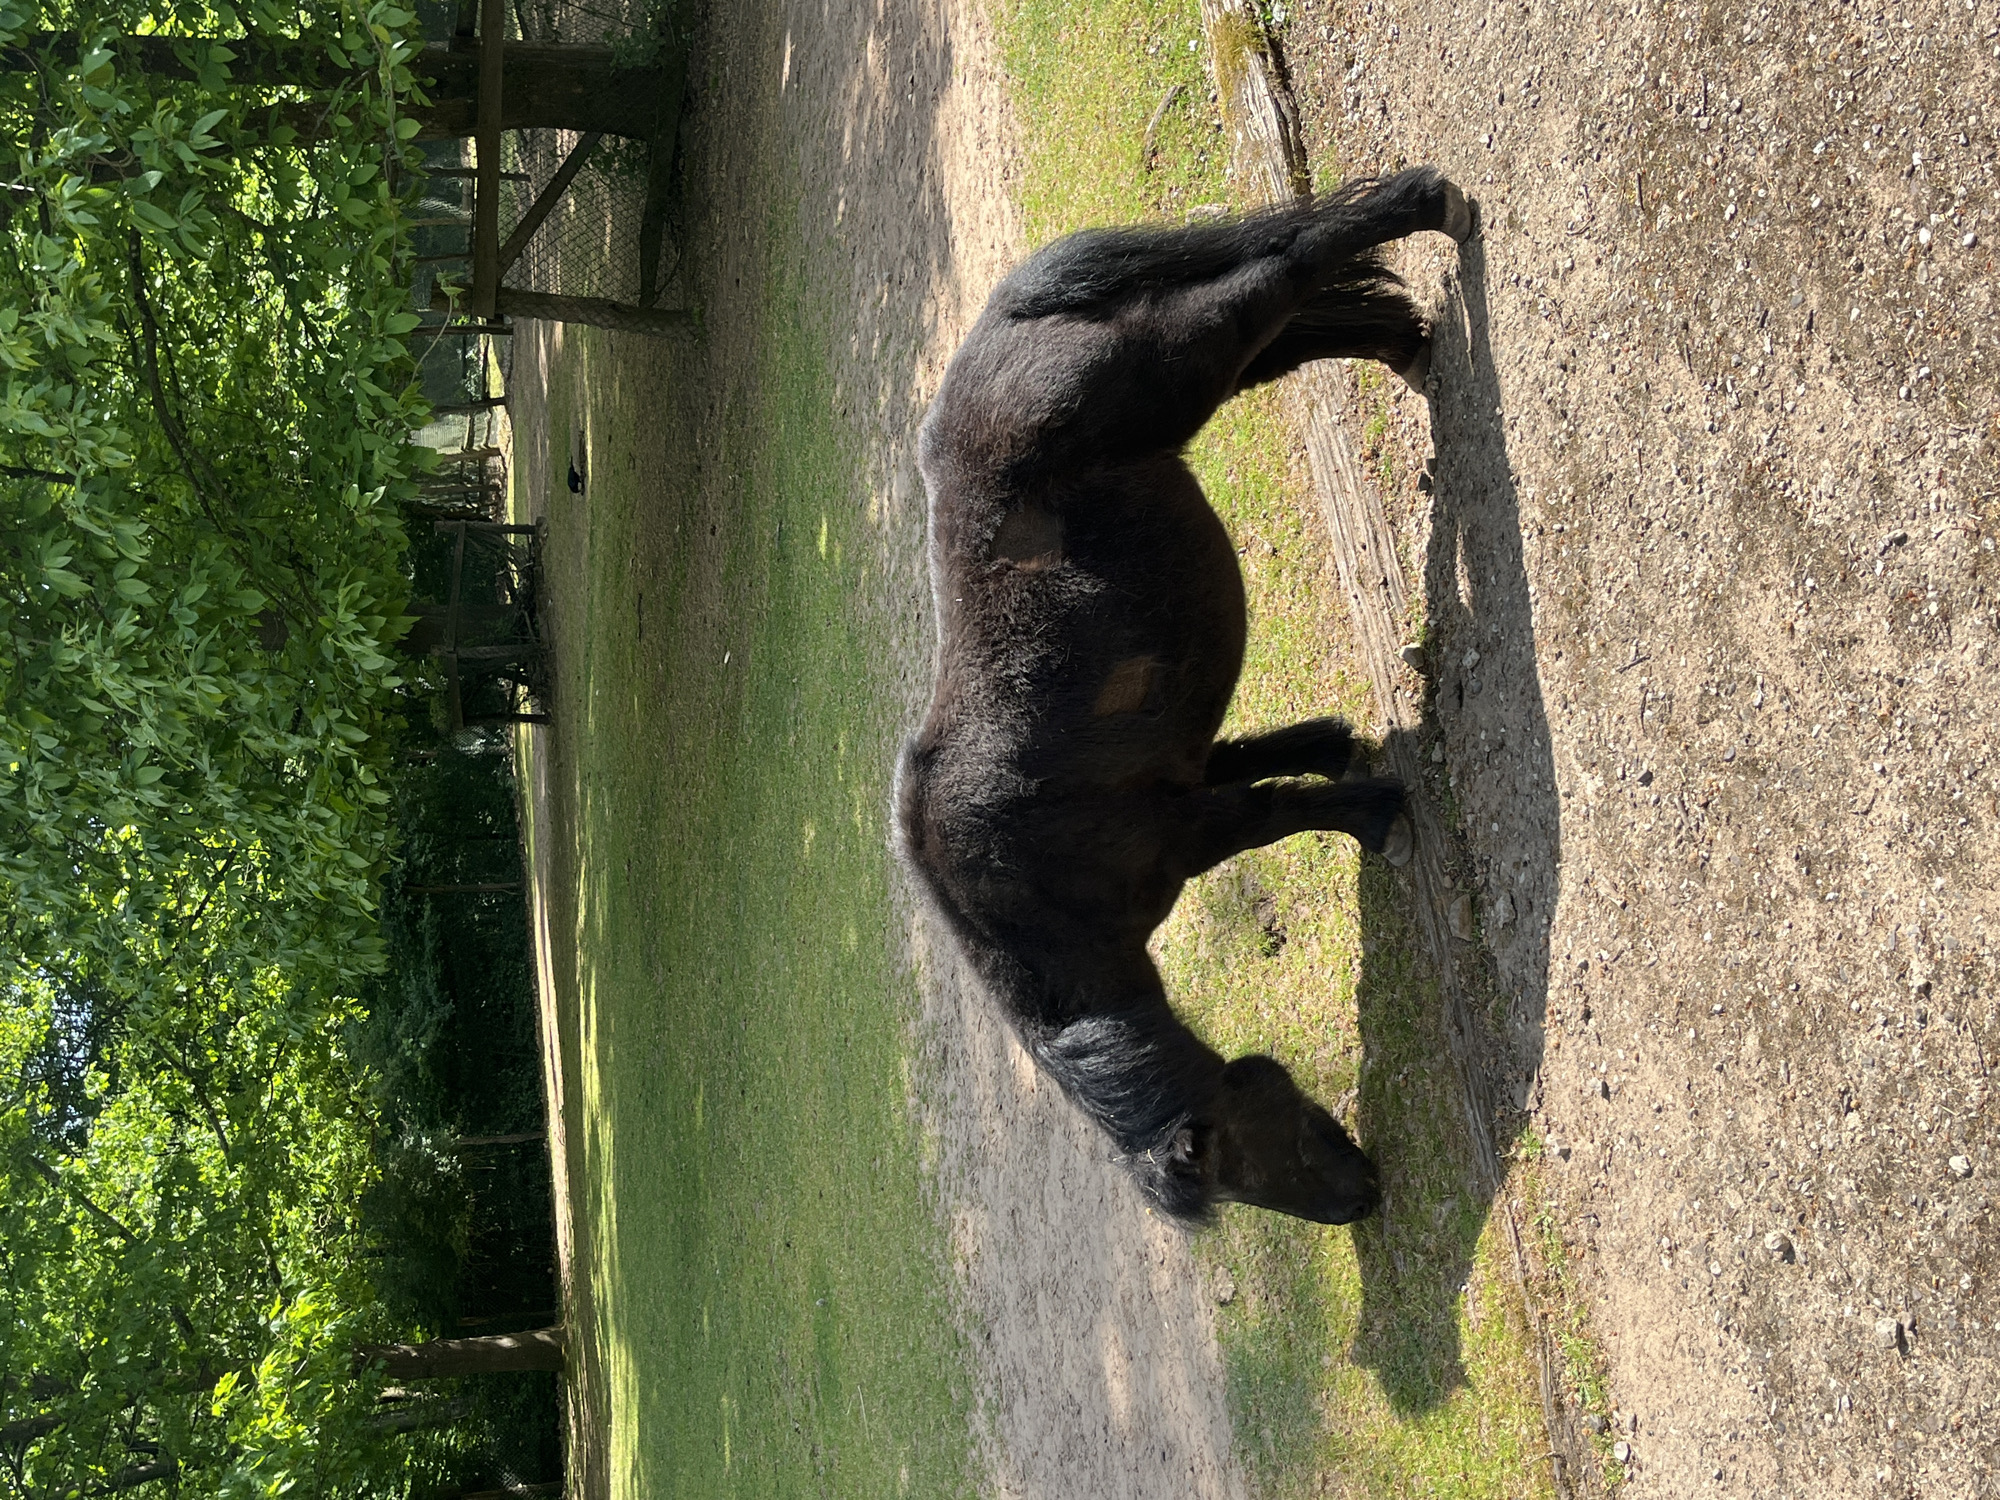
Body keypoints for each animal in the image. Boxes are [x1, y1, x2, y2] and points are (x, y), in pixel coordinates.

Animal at [895, 167, 1478, 1224]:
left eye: (1237, 1155)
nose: (1356, 1202)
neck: (1036, 898)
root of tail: (1003, 322)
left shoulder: (1194, 832)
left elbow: (1276, 812)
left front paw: (1375, 813)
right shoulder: (1183, 778)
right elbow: (1264, 765)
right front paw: (1345, 753)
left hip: (1181, 364)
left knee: (1285, 272)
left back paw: (1427, 207)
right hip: (1196, 383)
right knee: (1295, 321)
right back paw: (1405, 343)